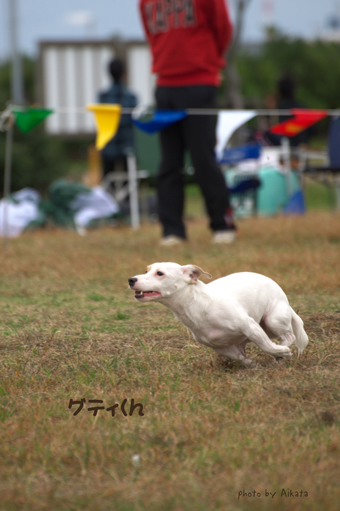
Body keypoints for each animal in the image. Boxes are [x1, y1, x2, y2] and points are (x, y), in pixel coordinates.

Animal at [127, 264, 308, 368]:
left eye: (160, 273)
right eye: (146, 270)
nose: (131, 279)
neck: (195, 306)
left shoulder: (250, 327)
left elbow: (266, 346)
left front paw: (280, 352)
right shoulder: (217, 345)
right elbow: (238, 357)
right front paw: (250, 364)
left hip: (271, 321)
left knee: (289, 336)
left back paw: (282, 353)